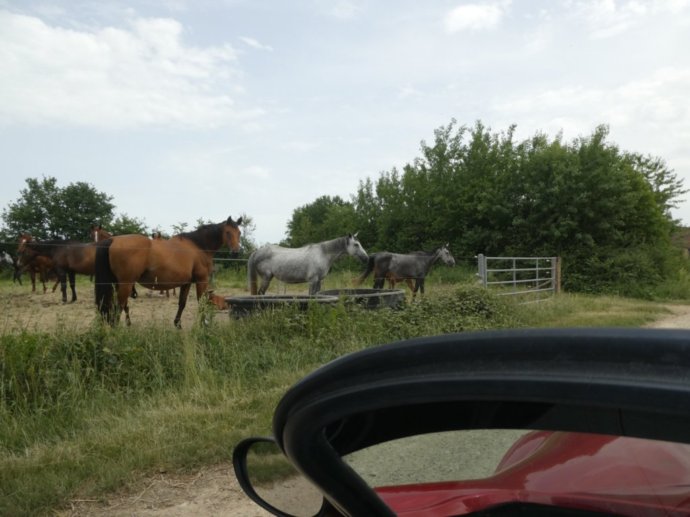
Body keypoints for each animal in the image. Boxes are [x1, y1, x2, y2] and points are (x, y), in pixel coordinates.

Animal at [94, 217, 242, 326]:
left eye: (239, 233)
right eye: (228, 232)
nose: (236, 252)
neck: (198, 246)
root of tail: (113, 240)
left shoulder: (186, 283)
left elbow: (182, 303)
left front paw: (177, 324)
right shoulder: (201, 281)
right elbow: (202, 303)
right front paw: (203, 324)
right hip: (125, 284)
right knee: (118, 306)